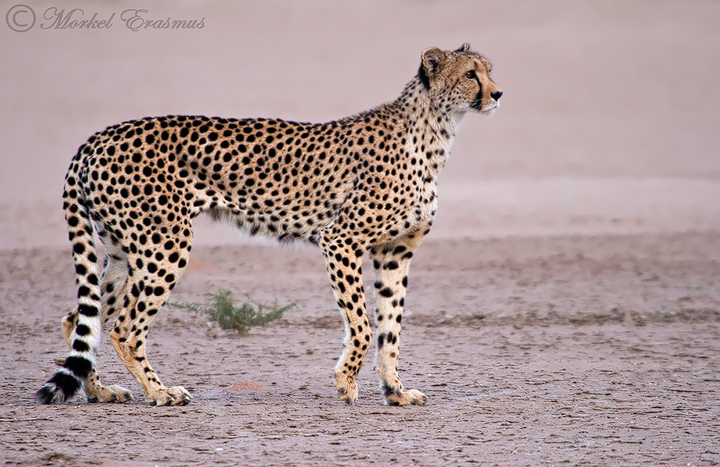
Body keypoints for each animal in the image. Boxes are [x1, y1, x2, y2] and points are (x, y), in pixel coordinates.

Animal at [36, 43, 502, 406]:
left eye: (489, 70)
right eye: (470, 74)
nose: (498, 93)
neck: (434, 131)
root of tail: (98, 137)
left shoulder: (395, 252)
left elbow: (391, 328)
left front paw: (396, 391)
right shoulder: (341, 241)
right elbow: (363, 326)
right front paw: (346, 384)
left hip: (124, 251)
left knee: (80, 319)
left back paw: (98, 391)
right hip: (165, 245)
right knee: (125, 329)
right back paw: (160, 392)